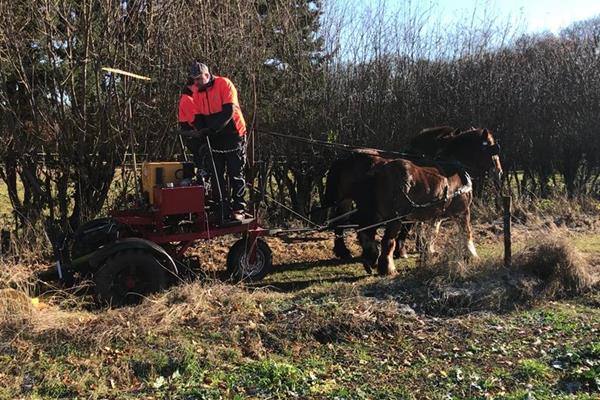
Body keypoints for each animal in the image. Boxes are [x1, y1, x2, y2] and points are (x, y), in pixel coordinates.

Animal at [324, 126, 460, 260]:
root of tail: (346, 159)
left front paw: (420, 247)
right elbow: (410, 226)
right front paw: (404, 250)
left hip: (346, 199)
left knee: (341, 221)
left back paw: (343, 252)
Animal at [356, 128, 502, 276]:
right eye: (492, 149)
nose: (499, 172)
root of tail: (378, 171)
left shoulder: (437, 215)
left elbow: (433, 232)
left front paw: (428, 252)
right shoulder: (463, 211)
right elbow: (467, 232)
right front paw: (472, 254)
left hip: (376, 214)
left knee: (367, 233)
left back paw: (370, 260)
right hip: (395, 218)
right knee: (387, 240)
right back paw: (388, 268)